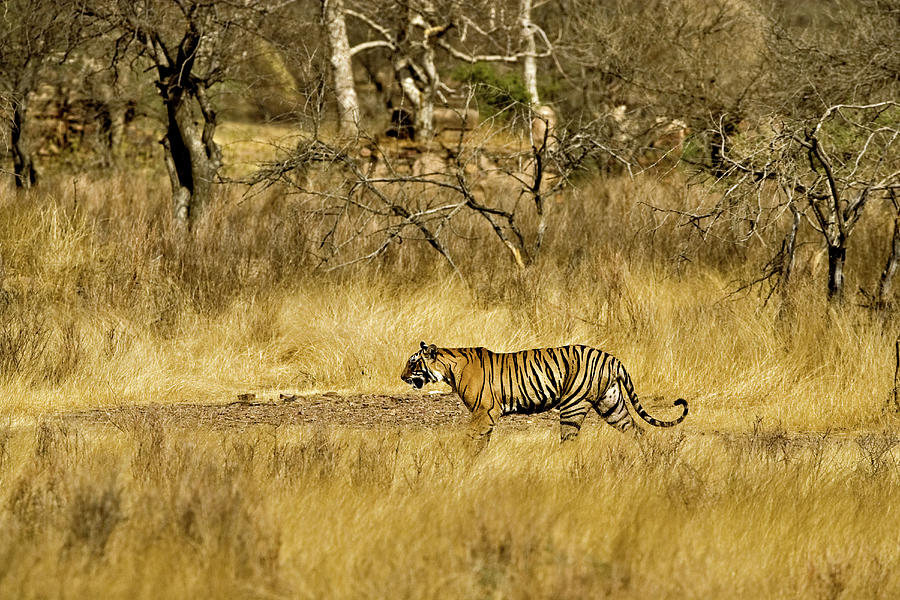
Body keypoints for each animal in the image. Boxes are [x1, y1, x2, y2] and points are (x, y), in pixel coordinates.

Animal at [400, 342, 688, 441]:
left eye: (413, 363)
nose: (402, 376)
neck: (449, 368)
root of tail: (612, 358)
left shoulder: (484, 412)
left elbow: (471, 440)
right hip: (611, 404)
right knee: (638, 431)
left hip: (573, 405)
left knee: (568, 441)